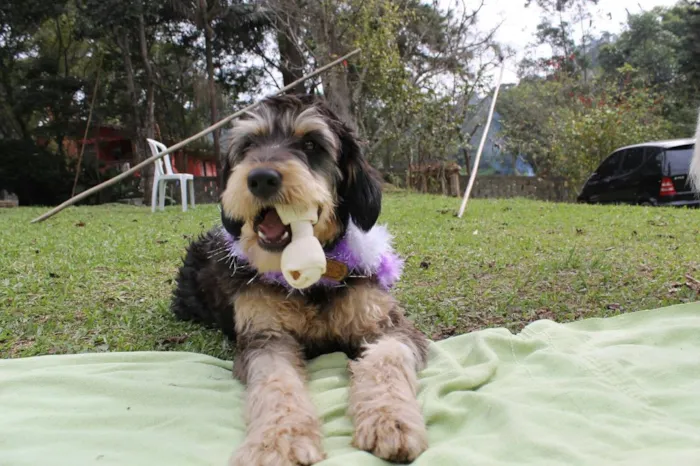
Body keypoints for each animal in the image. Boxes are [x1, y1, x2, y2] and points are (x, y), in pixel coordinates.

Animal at [172, 94, 430, 466]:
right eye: (248, 145)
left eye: (311, 144)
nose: (261, 178)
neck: (312, 281)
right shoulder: (266, 335)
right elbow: (276, 380)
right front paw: (277, 441)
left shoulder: (389, 326)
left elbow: (386, 360)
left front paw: (391, 419)